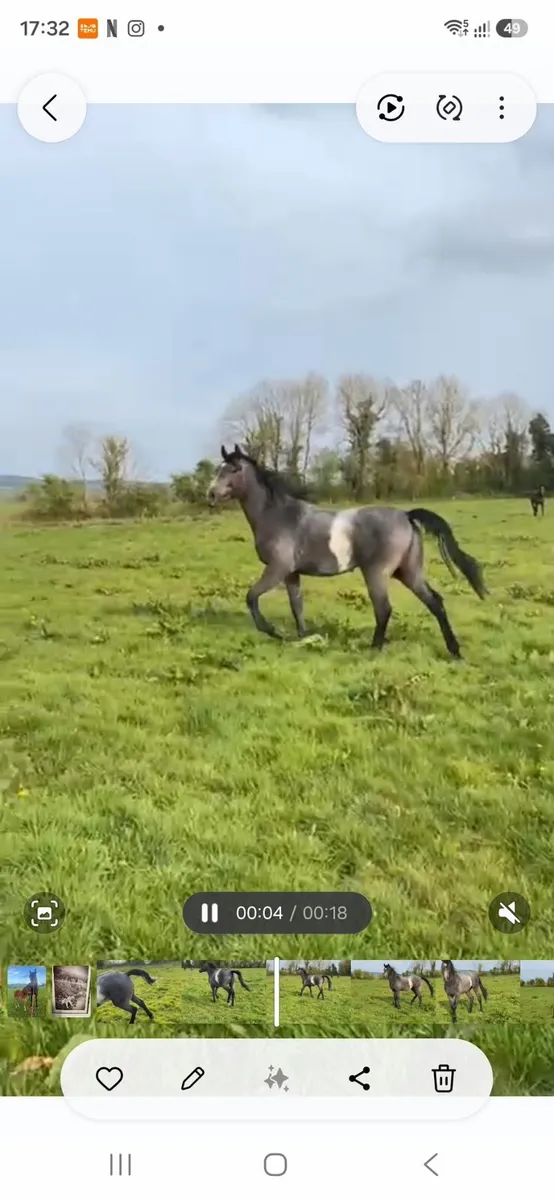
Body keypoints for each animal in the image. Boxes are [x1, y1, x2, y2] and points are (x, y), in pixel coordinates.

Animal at [208, 446, 486, 659]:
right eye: (218, 469)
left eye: (234, 469)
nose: (210, 494)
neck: (278, 516)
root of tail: (406, 515)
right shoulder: (291, 574)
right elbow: (296, 606)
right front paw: (304, 638)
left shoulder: (277, 568)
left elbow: (251, 597)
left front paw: (273, 631)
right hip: (408, 572)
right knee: (435, 602)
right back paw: (454, 651)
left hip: (376, 573)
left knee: (384, 608)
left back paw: (374, 649)